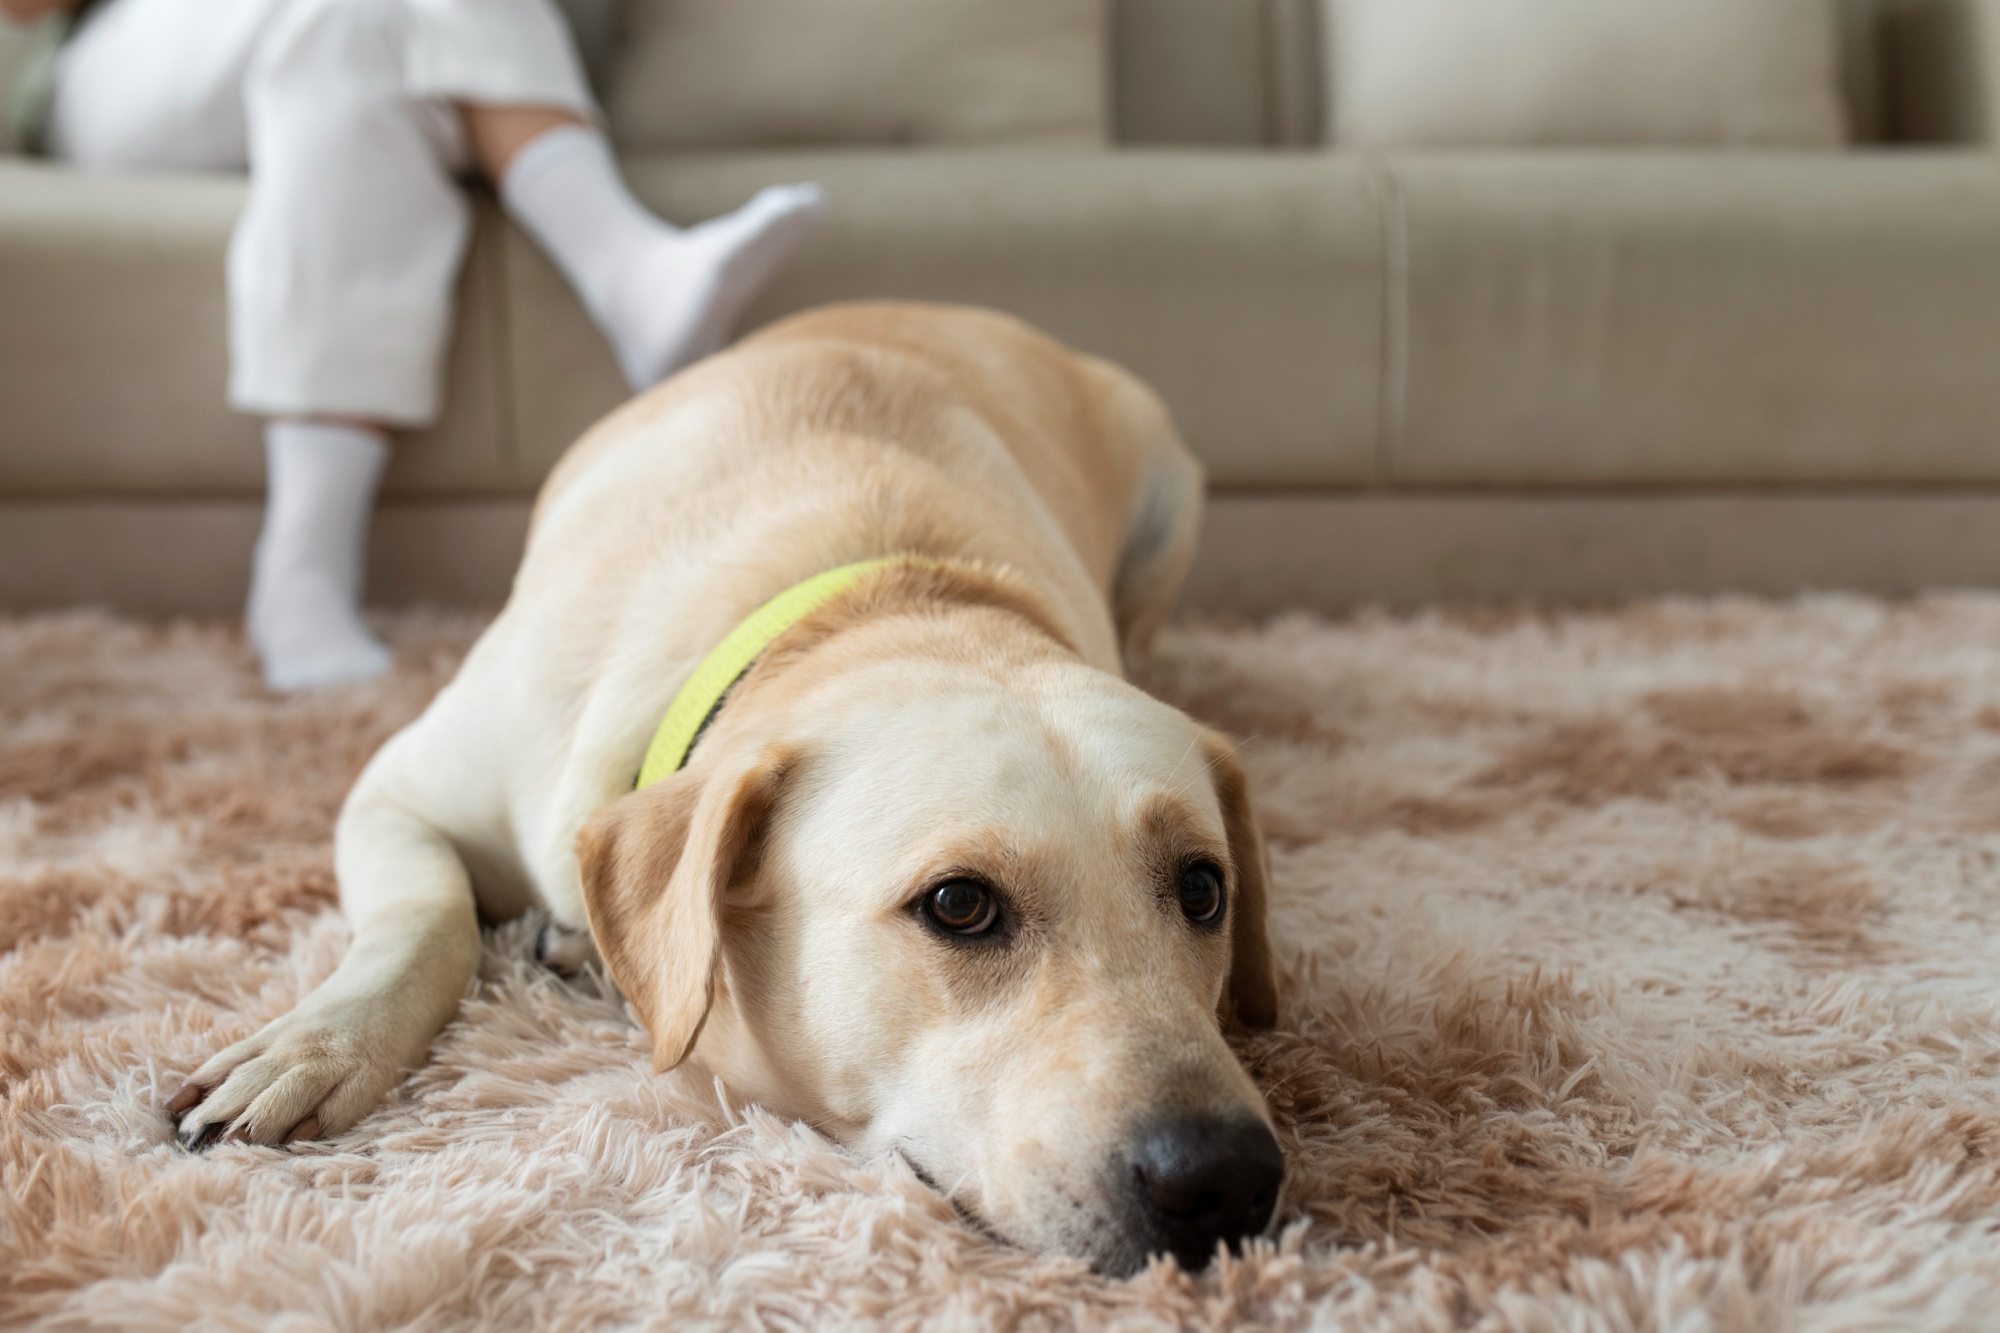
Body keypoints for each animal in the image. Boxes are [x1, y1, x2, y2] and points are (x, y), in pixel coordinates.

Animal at [160, 304, 1280, 1280]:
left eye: (1201, 890)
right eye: (959, 905)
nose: (1226, 1178)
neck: (878, 598)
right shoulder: (393, 791)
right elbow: (424, 922)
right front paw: (314, 1045)